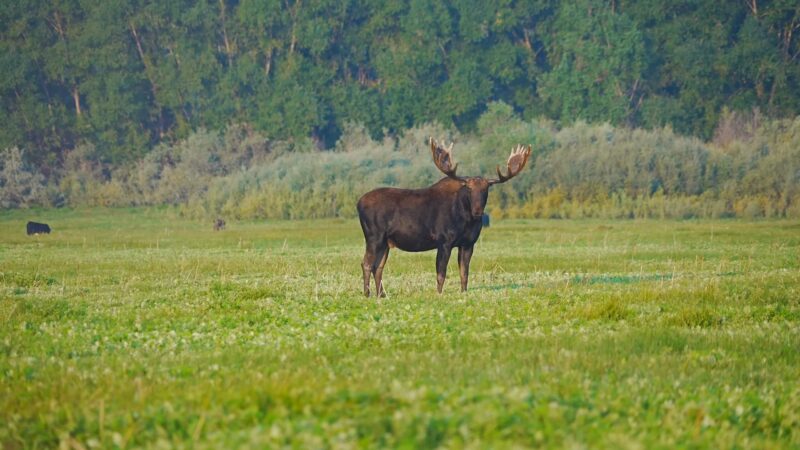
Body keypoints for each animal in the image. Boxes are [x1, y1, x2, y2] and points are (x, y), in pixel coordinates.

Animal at [356, 139, 532, 298]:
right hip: (374, 236)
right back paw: (367, 294)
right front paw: (439, 294)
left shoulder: (468, 243)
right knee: (366, 263)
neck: (465, 220)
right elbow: (441, 273)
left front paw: (464, 293)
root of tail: (358, 203)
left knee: (378, 267)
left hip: (385, 242)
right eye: (469, 188)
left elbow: (464, 273)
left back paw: (381, 294)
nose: (477, 211)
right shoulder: (444, 241)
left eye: (486, 188)